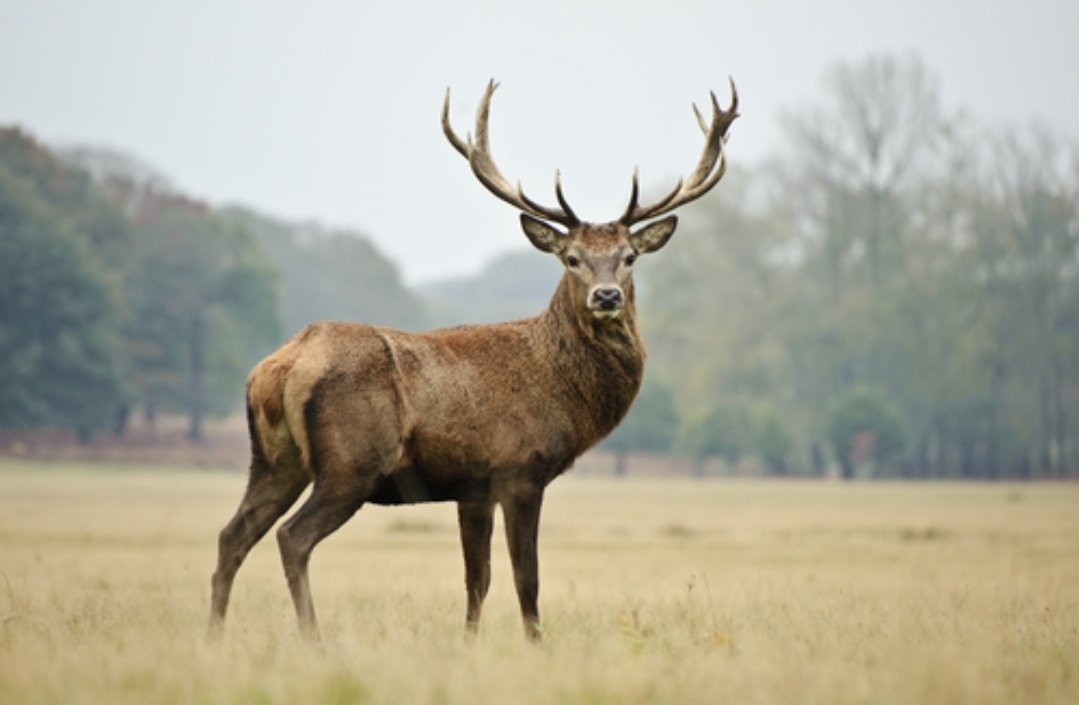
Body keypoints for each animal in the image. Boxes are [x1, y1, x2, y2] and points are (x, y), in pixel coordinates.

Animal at [207, 79, 738, 643]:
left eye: (629, 257)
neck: (559, 387)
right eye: (571, 258)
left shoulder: (472, 487)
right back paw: (314, 641)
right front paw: (535, 644)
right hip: (350, 462)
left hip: (274, 459)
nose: (607, 296)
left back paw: (213, 636)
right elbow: (527, 578)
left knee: (232, 535)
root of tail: (280, 366)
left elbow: (476, 579)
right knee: (292, 537)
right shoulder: (519, 469)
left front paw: (468, 643)